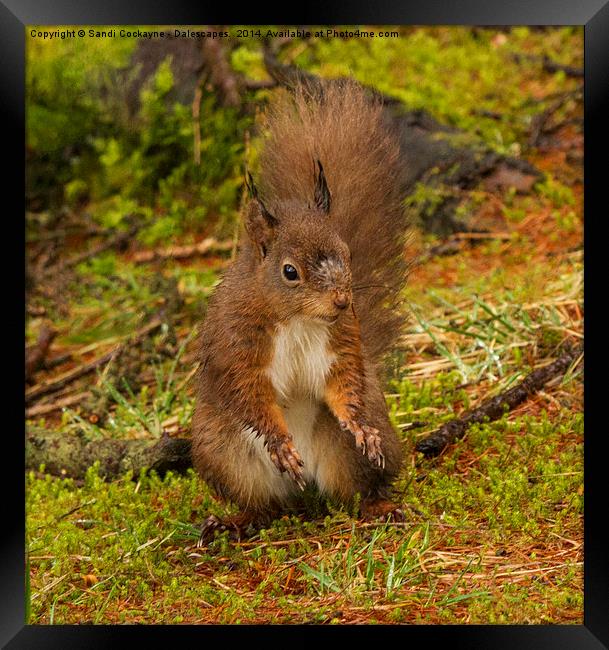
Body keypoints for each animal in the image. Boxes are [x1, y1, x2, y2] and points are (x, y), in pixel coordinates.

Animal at [191, 78, 408, 540]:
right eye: (290, 271)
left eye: (348, 252)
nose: (342, 301)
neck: (297, 319)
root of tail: (306, 492)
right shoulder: (238, 346)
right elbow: (251, 397)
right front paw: (280, 444)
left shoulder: (341, 340)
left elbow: (343, 382)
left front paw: (358, 424)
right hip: (222, 451)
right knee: (264, 507)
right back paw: (233, 522)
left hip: (347, 453)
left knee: (357, 491)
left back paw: (379, 505)